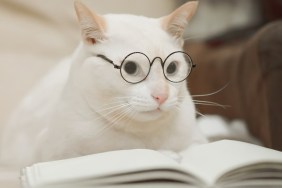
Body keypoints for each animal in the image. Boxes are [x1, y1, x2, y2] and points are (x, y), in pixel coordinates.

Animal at [0, 0, 207, 167]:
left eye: (171, 68)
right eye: (130, 67)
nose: (161, 95)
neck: (144, 136)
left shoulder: (197, 139)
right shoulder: (53, 154)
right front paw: (165, 155)